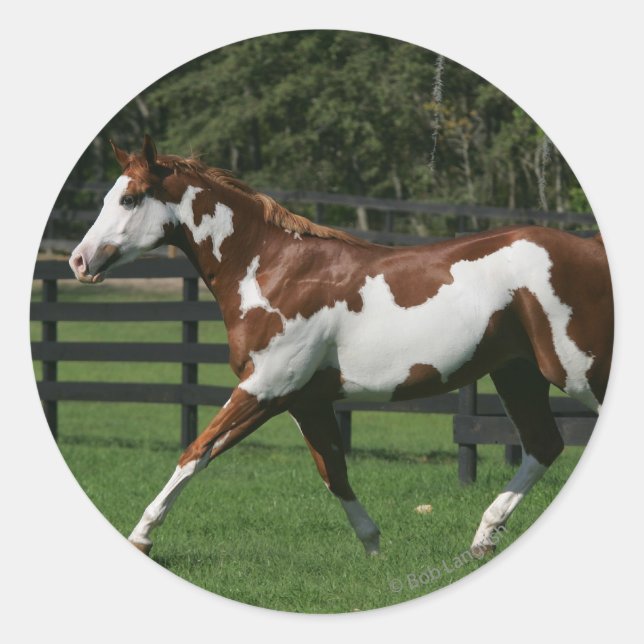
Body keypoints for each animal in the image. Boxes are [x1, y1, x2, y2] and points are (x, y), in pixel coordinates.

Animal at [68, 135, 613, 558]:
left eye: (130, 199)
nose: (78, 261)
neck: (272, 270)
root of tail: (590, 247)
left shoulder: (264, 389)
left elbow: (196, 452)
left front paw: (142, 535)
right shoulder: (304, 400)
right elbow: (334, 472)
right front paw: (374, 549)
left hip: (579, 371)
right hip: (518, 373)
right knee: (544, 444)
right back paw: (483, 537)